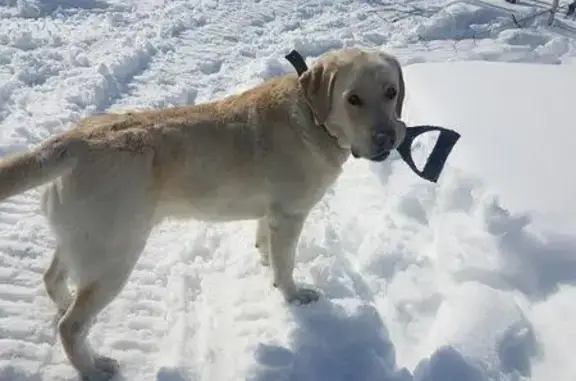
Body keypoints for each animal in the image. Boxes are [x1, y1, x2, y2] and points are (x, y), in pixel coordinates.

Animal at [0, 46, 408, 378]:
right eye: (353, 99)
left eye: (391, 93)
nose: (388, 139)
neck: (312, 116)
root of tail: (72, 140)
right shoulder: (290, 215)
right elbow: (286, 265)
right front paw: (293, 296)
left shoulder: (271, 214)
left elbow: (266, 245)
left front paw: (265, 263)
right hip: (115, 257)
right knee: (71, 326)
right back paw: (93, 367)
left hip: (82, 240)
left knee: (53, 280)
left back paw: (64, 306)